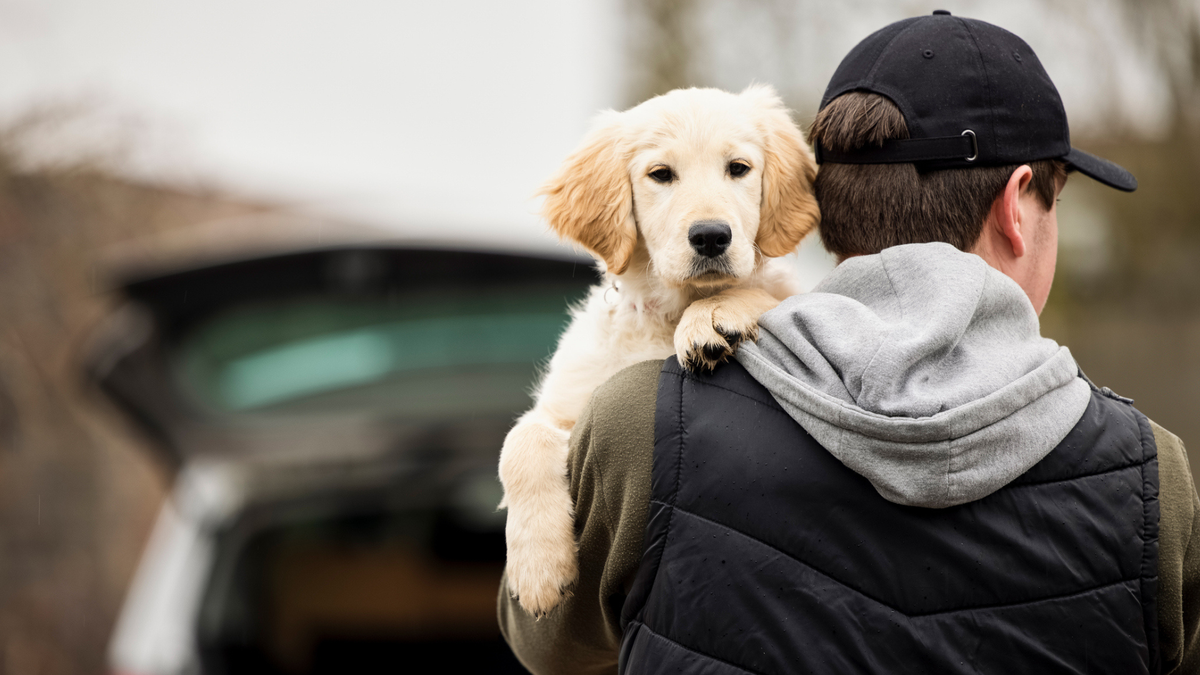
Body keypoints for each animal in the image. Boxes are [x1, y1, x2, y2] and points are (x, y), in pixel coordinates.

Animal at [494, 84, 816, 614]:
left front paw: (714, 314)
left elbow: (766, 292)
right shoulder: (568, 403)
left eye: (738, 168)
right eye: (661, 174)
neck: (668, 312)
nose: (711, 236)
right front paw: (538, 569)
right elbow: (519, 442)